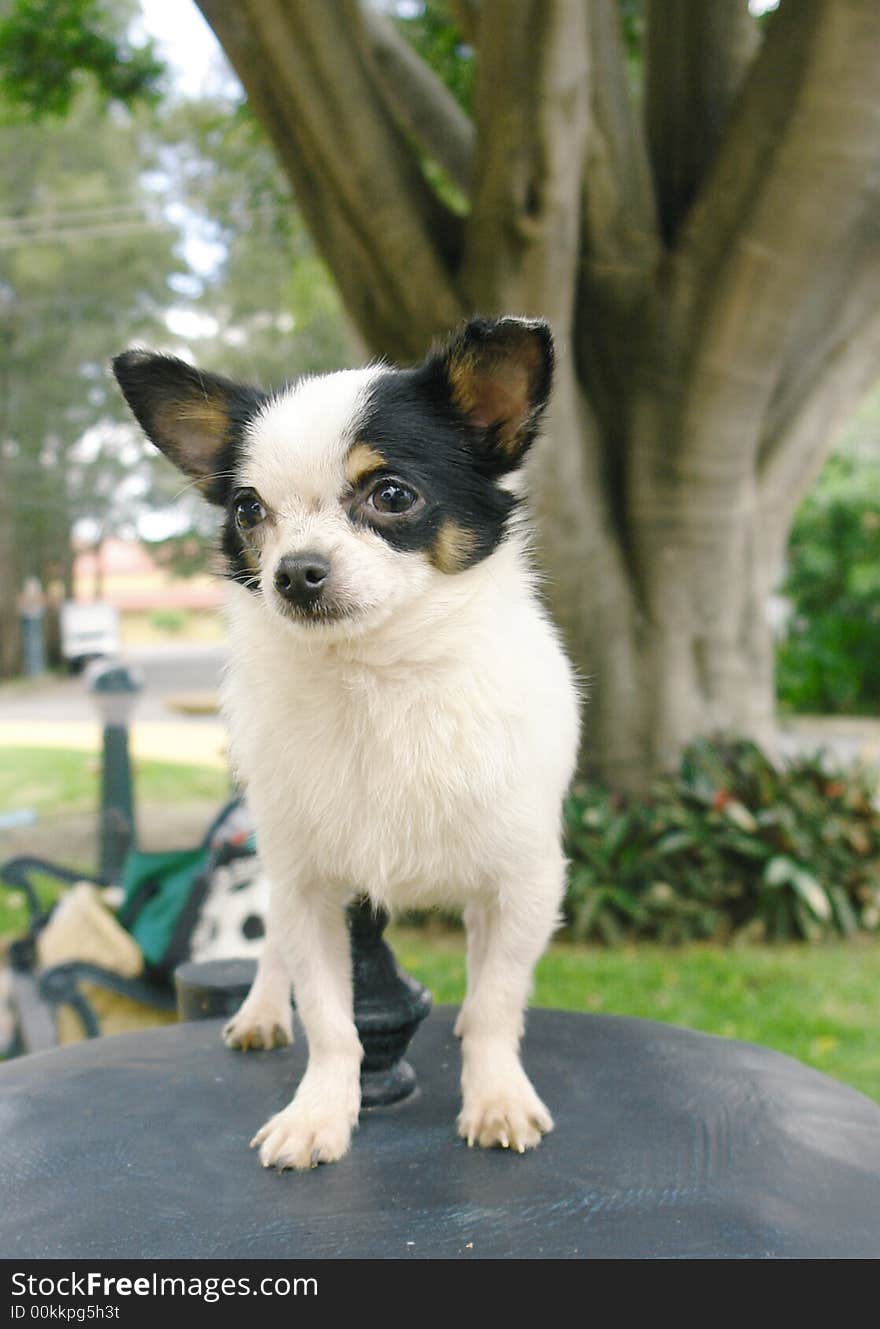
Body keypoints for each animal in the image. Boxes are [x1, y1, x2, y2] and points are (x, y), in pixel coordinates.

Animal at [113, 321, 582, 1174]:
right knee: (273, 953)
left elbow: (498, 999)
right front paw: (319, 1113)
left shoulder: (524, 881)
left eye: (391, 495)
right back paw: (263, 1010)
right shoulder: (308, 889)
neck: (376, 683)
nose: (295, 571)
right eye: (247, 510)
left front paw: (495, 1093)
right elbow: (332, 1020)